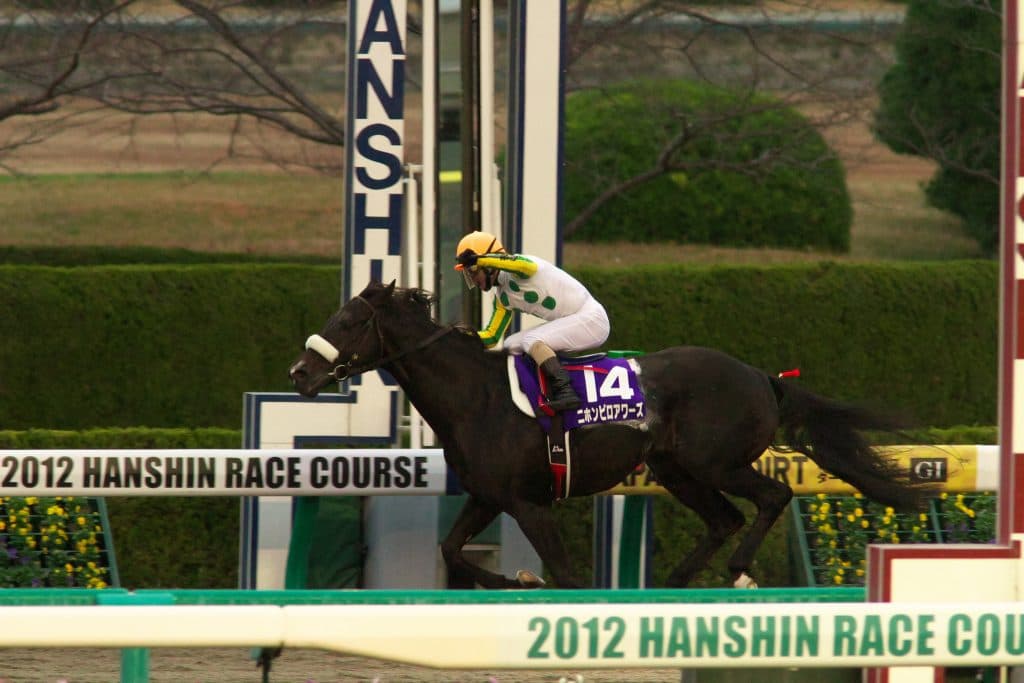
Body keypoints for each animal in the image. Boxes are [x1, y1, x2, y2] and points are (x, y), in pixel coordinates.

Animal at [288, 280, 930, 589]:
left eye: (349, 320)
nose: (300, 372)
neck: (476, 397)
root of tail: (759, 376)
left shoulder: (530, 502)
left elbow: (568, 575)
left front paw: (532, 580)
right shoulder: (487, 496)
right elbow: (451, 549)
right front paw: (514, 579)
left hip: (716, 462)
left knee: (773, 496)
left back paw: (739, 569)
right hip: (676, 470)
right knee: (723, 518)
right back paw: (676, 582)